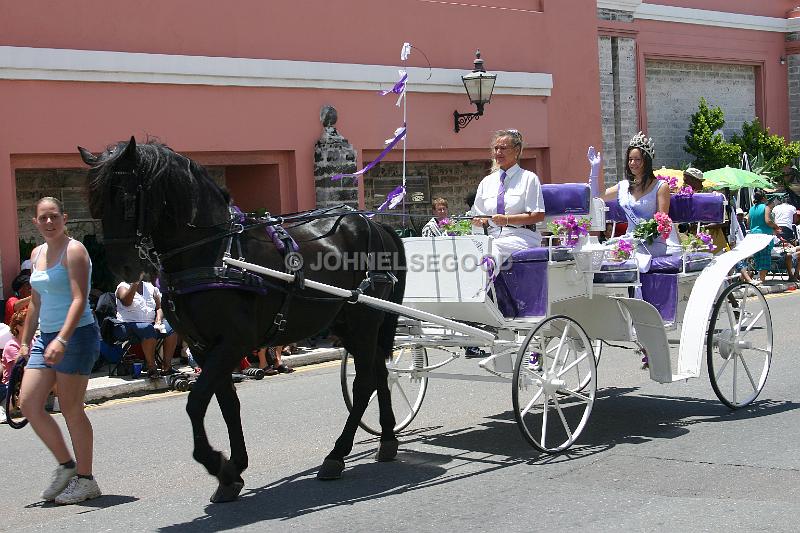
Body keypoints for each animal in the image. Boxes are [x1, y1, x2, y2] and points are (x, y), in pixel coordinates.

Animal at [83, 136, 406, 498]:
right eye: (95, 203)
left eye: (126, 198)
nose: (123, 268)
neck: (214, 253)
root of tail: (375, 224)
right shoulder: (204, 347)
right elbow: (227, 403)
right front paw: (233, 470)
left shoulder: (232, 342)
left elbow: (196, 402)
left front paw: (216, 462)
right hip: (348, 323)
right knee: (379, 371)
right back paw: (388, 439)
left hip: (363, 320)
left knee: (364, 382)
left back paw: (337, 455)